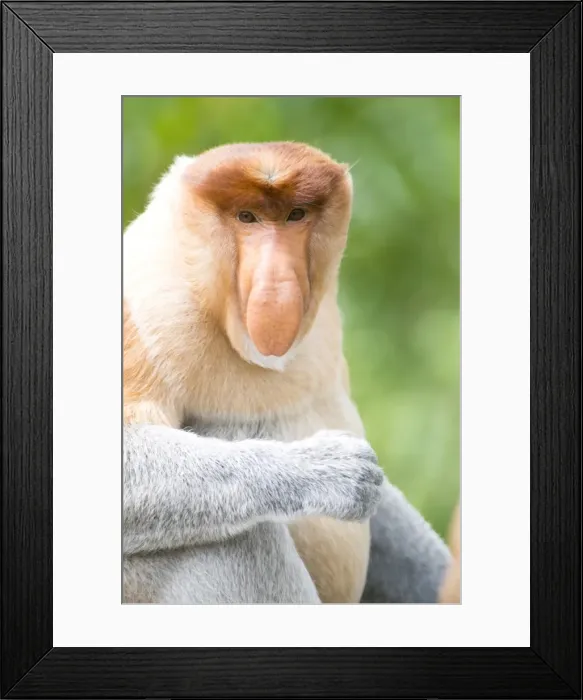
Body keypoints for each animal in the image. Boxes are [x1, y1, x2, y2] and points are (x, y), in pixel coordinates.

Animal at [122, 141, 445, 604]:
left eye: (296, 215)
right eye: (246, 217)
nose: (276, 285)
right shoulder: (150, 310)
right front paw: (329, 470)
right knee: (237, 540)